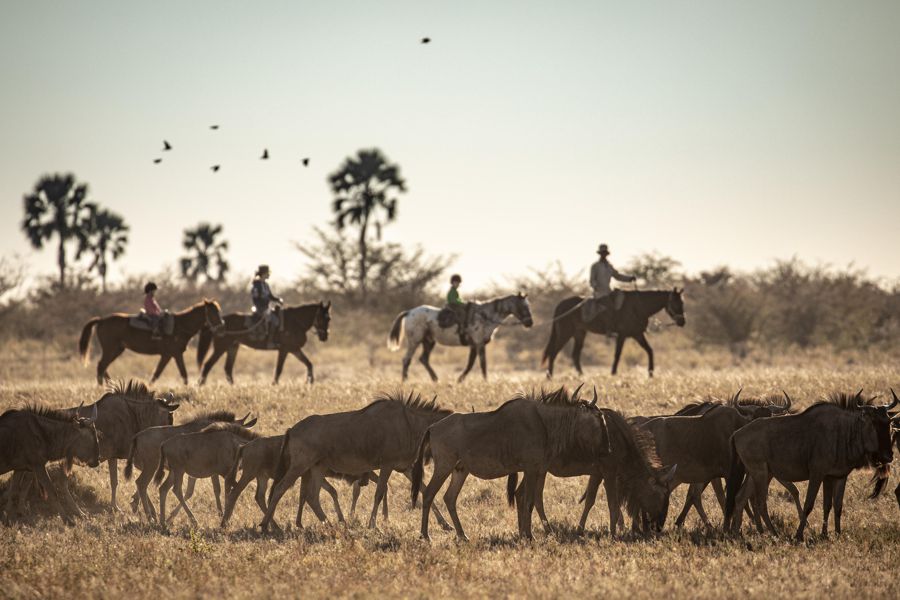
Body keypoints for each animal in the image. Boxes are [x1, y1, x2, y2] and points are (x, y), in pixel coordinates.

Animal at [80, 298, 224, 384]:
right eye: (212, 312)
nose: (221, 327)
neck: (179, 325)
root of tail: (101, 320)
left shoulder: (167, 355)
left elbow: (157, 374)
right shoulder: (175, 354)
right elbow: (182, 373)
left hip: (117, 350)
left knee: (103, 366)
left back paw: (110, 386)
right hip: (110, 349)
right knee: (101, 366)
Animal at [195, 300, 332, 384]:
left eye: (329, 318)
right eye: (321, 317)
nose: (324, 336)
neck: (295, 321)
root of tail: (218, 323)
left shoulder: (294, 349)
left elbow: (309, 363)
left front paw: (310, 381)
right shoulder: (285, 349)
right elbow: (279, 369)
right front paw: (274, 384)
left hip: (232, 347)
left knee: (227, 369)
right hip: (220, 348)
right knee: (208, 365)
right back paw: (200, 385)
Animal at [388, 292, 532, 382]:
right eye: (523, 306)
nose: (530, 323)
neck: (485, 316)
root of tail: (409, 312)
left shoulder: (475, 345)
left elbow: (470, 364)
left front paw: (460, 380)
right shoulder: (479, 344)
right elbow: (482, 364)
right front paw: (485, 381)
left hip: (429, 341)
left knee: (423, 359)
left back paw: (435, 379)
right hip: (415, 341)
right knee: (407, 359)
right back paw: (405, 380)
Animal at [540, 288, 684, 378]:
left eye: (682, 303)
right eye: (675, 303)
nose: (682, 321)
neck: (638, 306)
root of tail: (561, 305)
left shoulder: (637, 334)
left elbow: (650, 351)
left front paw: (650, 373)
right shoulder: (622, 335)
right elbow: (617, 354)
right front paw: (613, 373)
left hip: (579, 334)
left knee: (575, 355)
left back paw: (582, 376)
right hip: (565, 333)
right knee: (554, 353)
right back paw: (549, 376)